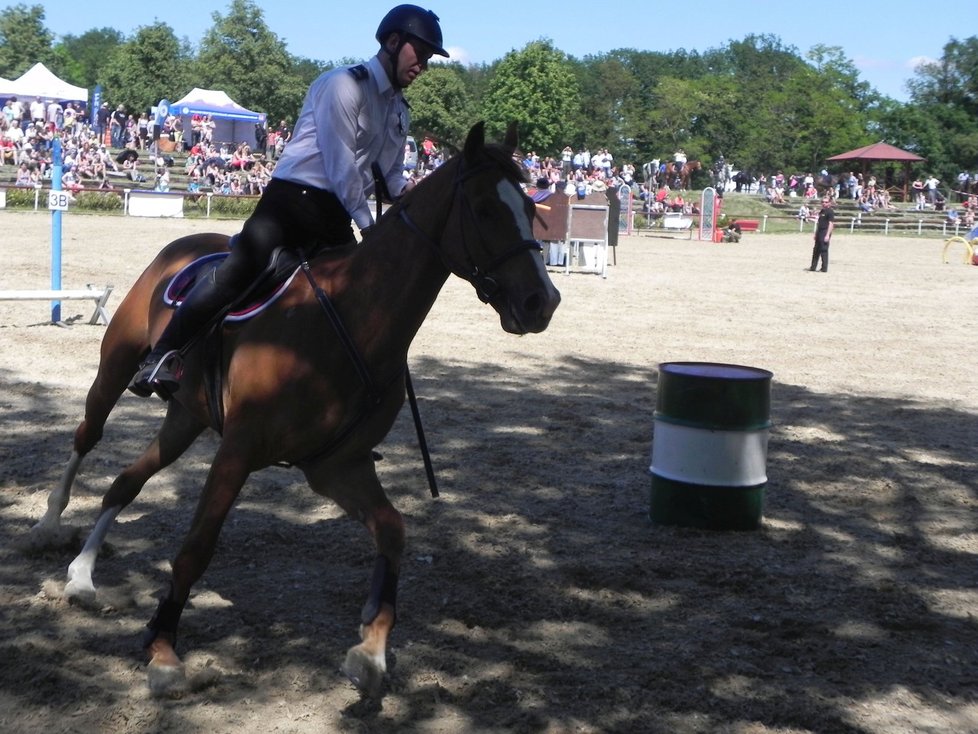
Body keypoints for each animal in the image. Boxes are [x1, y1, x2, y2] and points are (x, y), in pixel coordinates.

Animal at [30, 122, 560, 700]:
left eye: (531, 211)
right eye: (486, 210)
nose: (542, 302)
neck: (351, 316)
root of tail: (187, 243)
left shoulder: (335, 466)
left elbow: (392, 530)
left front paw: (371, 650)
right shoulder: (240, 451)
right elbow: (196, 547)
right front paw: (165, 653)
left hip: (186, 418)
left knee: (126, 481)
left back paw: (83, 575)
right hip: (116, 367)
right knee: (87, 436)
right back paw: (52, 523)